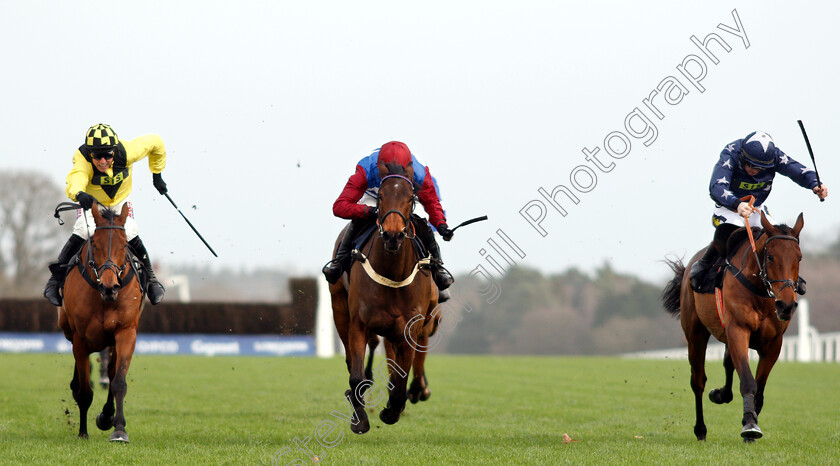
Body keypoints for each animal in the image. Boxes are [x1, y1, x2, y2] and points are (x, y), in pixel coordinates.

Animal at [57, 202, 144, 442]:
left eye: (124, 245)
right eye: (94, 244)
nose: (109, 287)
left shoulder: (126, 332)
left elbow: (119, 382)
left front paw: (119, 429)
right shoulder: (80, 337)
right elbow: (85, 392)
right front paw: (83, 432)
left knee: (112, 372)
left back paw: (107, 415)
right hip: (68, 329)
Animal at [328, 163, 440, 434]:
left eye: (411, 198)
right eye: (380, 196)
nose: (392, 235)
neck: (392, 274)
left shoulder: (411, 328)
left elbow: (400, 379)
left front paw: (392, 409)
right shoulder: (359, 324)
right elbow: (356, 375)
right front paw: (359, 418)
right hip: (339, 307)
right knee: (351, 359)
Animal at [664, 211, 808, 440]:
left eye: (799, 257)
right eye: (770, 257)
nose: (786, 305)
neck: (760, 292)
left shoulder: (773, 343)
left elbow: (759, 388)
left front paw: (750, 422)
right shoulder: (738, 331)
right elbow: (748, 380)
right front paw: (750, 425)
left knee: (727, 363)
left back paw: (721, 394)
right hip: (695, 335)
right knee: (698, 380)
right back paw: (701, 429)